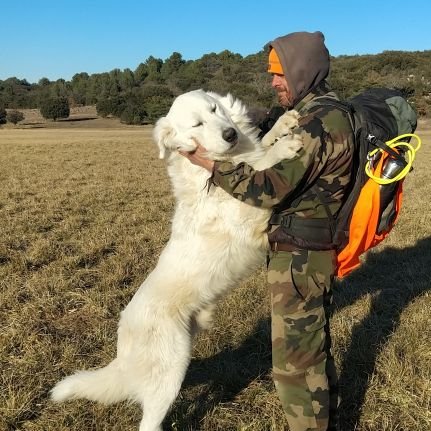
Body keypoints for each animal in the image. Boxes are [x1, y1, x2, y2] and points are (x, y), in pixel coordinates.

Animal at [51, 89, 304, 430]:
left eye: (214, 110)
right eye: (197, 124)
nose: (230, 134)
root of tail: (121, 353)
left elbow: (257, 150)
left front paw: (281, 125)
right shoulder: (244, 211)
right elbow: (261, 164)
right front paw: (282, 147)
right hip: (170, 373)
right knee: (148, 423)